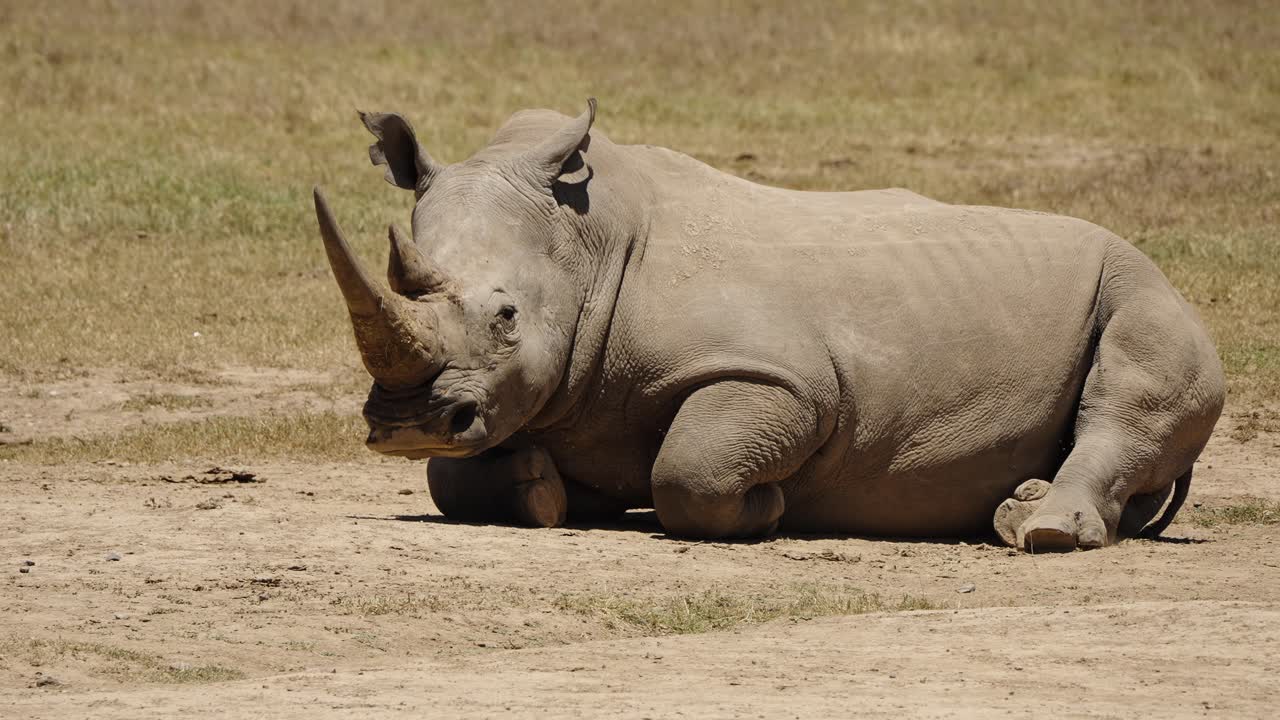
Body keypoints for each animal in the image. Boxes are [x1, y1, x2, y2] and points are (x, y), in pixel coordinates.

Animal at [312, 99, 1224, 551]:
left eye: (506, 316)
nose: (407, 425)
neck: (586, 241)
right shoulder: (533, 396)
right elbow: (453, 474)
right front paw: (544, 492)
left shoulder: (781, 379)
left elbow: (691, 472)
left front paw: (768, 507)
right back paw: (1014, 510)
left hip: (1143, 287)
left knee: (1135, 380)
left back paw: (1039, 532)